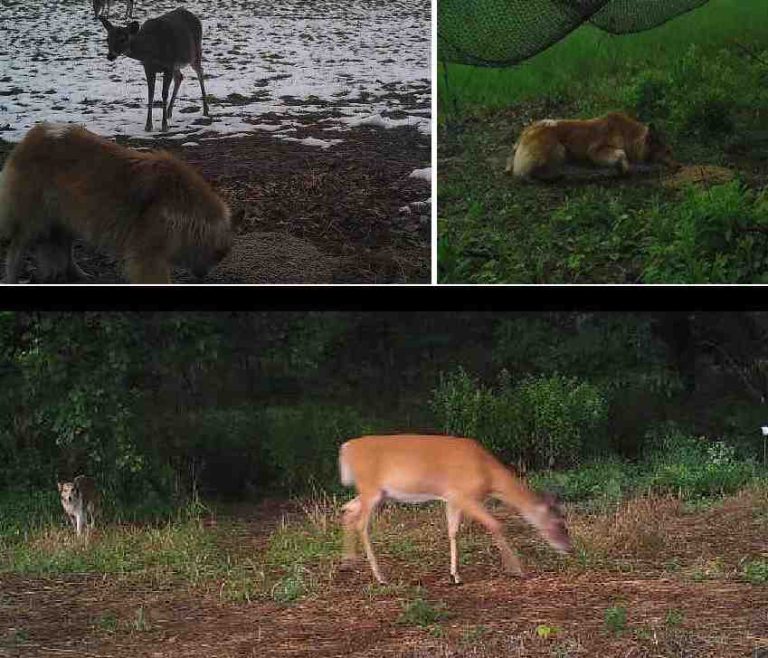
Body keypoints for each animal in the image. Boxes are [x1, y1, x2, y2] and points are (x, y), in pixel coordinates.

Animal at [0, 123, 234, 282]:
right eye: (218, 255)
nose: (202, 275)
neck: (185, 209)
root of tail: (31, 136)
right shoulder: (148, 256)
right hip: (35, 220)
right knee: (16, 250)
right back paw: (12, 278)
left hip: (69, 218)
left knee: (65, 250)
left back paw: (79, 275)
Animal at [340, 434, 572, 580]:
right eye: (559, 522)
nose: (569, 547)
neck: (489, 475)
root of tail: (346, 449)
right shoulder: (466, 495)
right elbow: (495, 524)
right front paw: (516, 569)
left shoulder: (452, 497)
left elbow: (453, 532)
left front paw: (455, 574)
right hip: (370, 487)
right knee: (361, 523)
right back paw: (379, 576)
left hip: (376, 493)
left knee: (347, 509)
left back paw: (348, 561)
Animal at [504, 112, 680, 179]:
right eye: (668, 151)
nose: (679, 165)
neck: (628, 135)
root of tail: (525, 132)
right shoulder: (596, 150)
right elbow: (621, 153)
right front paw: (625, 168)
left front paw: (621, 170)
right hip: (558, 149)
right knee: (524, 172)